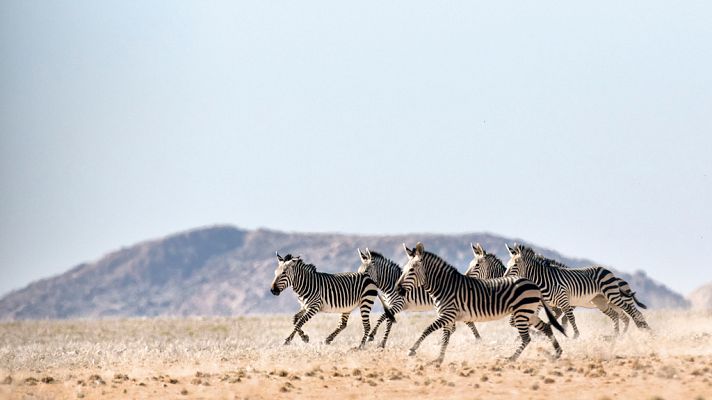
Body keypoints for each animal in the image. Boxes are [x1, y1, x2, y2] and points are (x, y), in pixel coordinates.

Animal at [356, 248, 484, 348]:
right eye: (358, 271)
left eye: (366, 271)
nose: (360, 285)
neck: (390, 284)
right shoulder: (390, 306)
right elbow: (388, 321)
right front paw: (382, 343)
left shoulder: (398, 304)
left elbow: (382, 317)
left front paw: (372, 336)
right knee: (454, 327)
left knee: (467, 323)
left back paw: (478, 340)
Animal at [392, 241, 564, 366]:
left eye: (412, 270)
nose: (397, 289)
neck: (444, 286)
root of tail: (533, 283)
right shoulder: (449, 318)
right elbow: (445, 338)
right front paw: (439, 359)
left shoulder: (447, 315)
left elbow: (427, 329)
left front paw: (412, 350)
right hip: (529, 312)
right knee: (546, 327)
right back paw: (557, 353)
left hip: (522, 313)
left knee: (527, 338)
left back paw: (511, 359)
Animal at [464, 244, 644, 334]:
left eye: (477, 265)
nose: (464, 277)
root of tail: (619, 278)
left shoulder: (544, 305)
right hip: (603, 303)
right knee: (622, 316)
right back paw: (619, 335)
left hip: (614, 298)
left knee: (634, 313)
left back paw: (642, 331)